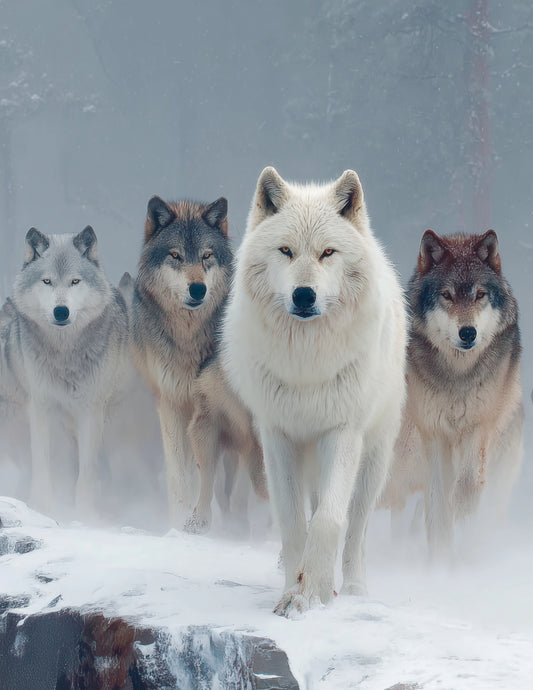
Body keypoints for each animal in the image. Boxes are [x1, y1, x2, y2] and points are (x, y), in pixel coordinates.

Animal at [8, 226, 129, 515]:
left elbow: (87, 470)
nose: (61, 311)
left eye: (75, 281)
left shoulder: (91, 410)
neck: (64, 355)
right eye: (47, 281)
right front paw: (42, 506)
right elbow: (42, 462)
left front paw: (86, 515)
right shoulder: (40, 406)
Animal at [132, 195, 266, 528]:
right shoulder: (172, 404)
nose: (197, 288)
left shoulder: (233, 412)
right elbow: (181, 477)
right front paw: (180, 522)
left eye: (207, 255)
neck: (190, 340)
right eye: (175, 255)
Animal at [222, 167, 407, 616]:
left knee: (355, 529)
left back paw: (354, 588)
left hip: (373, 462)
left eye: (327, 253)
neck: (306, 361)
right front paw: (294, 590)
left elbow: (328, 520)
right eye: (286, 251)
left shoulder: (341, 433)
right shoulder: (277, 437)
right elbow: (293, 523)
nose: (303, 295)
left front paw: (313, 594)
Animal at [387, 229, 523, 556]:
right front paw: (439, 557)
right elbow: (437, 504)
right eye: (447, 295)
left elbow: (467, 486)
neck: (457, 376)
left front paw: (462, 522)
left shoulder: (478, 427)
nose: (468, 332)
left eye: (479, 295)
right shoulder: (434, 433)